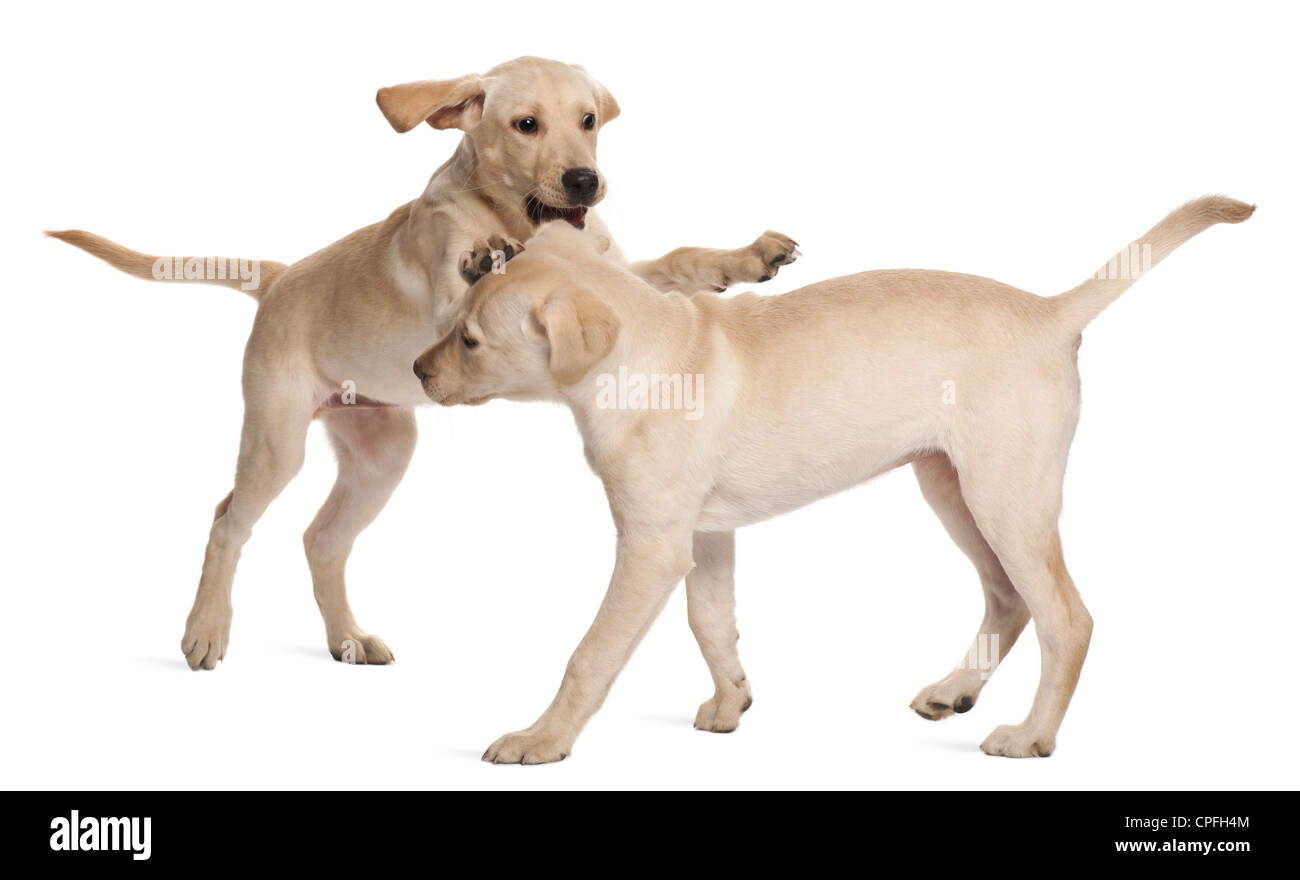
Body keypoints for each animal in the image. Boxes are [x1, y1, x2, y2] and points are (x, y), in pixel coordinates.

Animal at [50, 54, 795, 670]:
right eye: (526, 124)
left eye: (588, 120)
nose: (585, 182)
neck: (520, 221)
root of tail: (283, 277)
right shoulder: (450, 307)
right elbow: (474, 285)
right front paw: (487, 257)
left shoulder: (610, 276)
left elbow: (675, 261)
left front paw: (746, 257)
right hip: (275, 439)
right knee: (228, 519)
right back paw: (206, 631)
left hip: (383, 450)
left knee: (322, 539)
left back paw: (347, 638)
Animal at [413, 196, 1248, 759]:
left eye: (471, 340)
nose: (418, 371)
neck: (650, 353)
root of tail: (1049, 312)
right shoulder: (704, 536)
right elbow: (711, 623)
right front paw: (732, 701)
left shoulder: (650, 547)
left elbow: (589, 653)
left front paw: (541, 738)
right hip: (952, 491)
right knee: (1009, 600)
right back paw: (955, 690)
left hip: (1007, 500)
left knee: (1065, 619)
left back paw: (1032, 735)